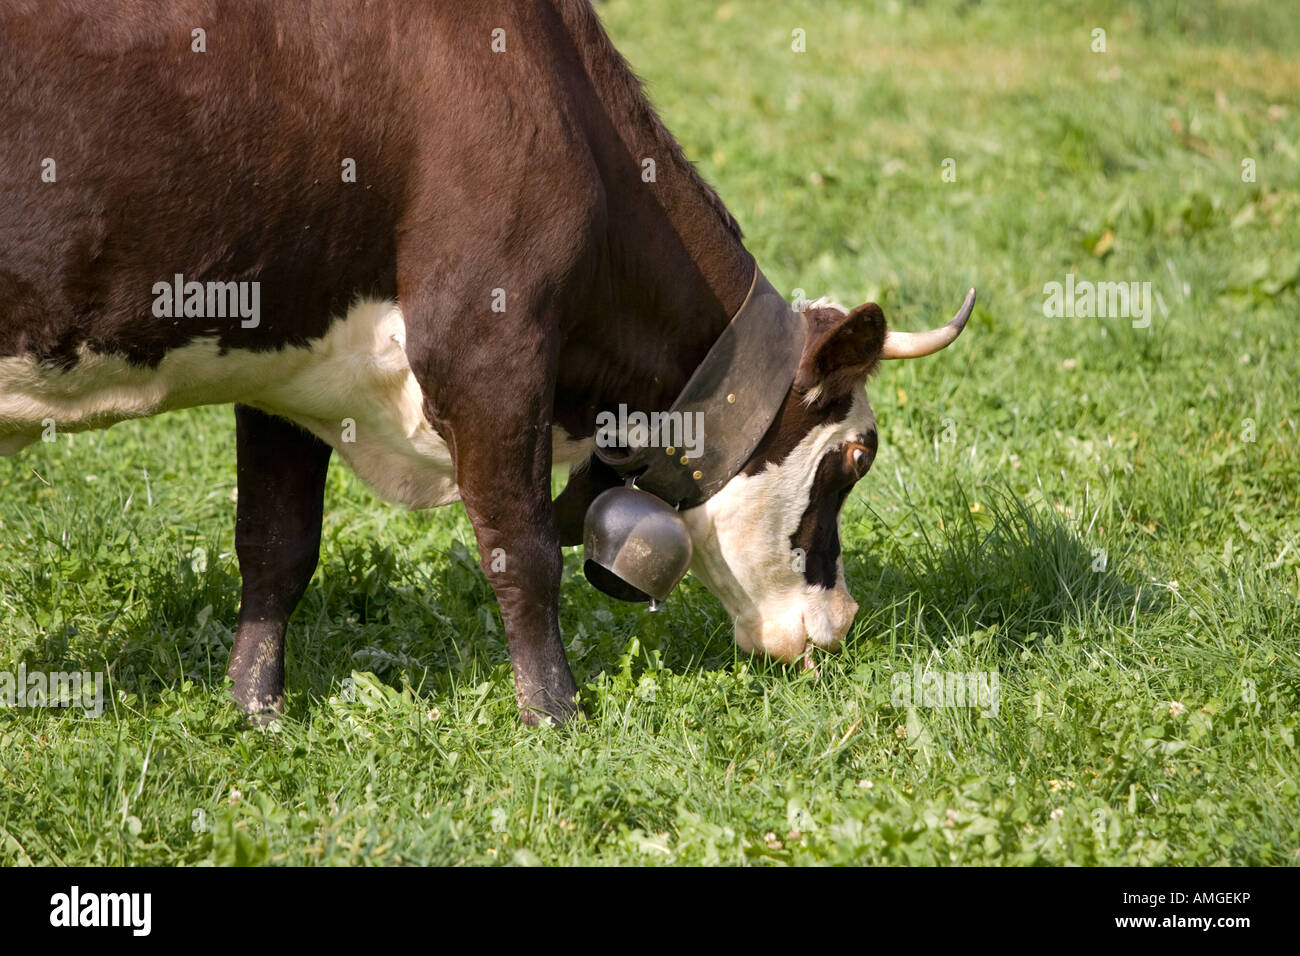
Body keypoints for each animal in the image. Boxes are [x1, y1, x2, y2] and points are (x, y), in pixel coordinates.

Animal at [0, 0, 972, 723]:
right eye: (856, 456)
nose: (840, 622)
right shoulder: (487, 347)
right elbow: (523, 549)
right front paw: (555, 714)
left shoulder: (283, 365)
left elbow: (275, 546)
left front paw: (256, 709)